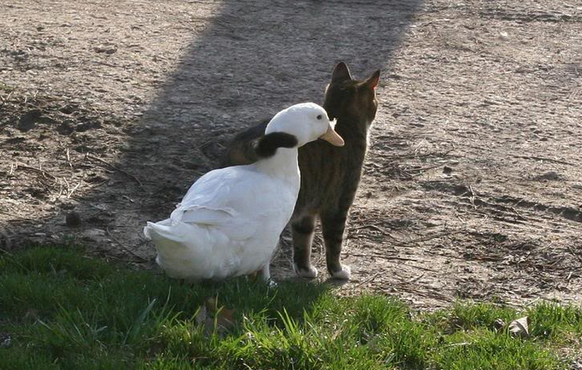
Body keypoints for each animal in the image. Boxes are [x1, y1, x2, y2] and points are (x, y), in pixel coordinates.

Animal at [221, 62, 380, 278]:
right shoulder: (337, 205)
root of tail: (249, 142)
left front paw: (305, 270)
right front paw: (337, 271)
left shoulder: (305, 211)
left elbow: (302, 242)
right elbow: (334, 243)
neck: (343, 123)